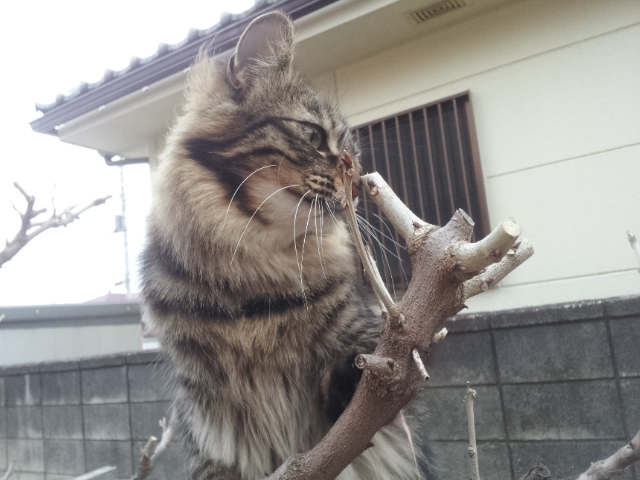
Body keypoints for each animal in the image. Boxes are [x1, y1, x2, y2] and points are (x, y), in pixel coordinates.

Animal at [141, 11, 431, 480]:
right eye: (313, 137)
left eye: (353, 155)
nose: (356, 182)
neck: (254, 275)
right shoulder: (210, 428)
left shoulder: (355, 383)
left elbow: (363, 377)